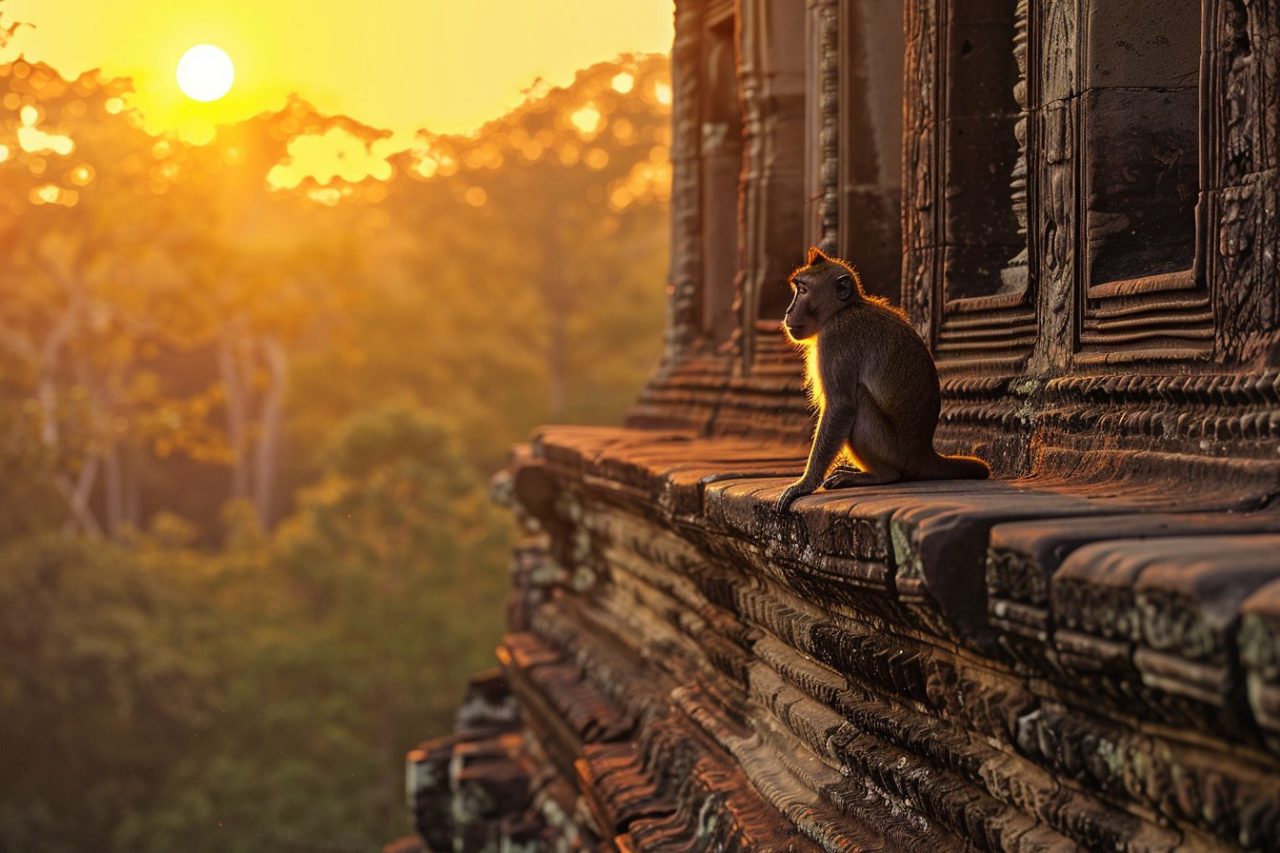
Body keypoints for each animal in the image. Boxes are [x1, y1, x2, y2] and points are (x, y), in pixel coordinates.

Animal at [773, 247, 989, 512]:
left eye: (803, 291)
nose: (787, 312)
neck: (843, 309)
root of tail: (924, 452)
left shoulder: (836, 337)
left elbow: (841, 406)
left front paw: (804, 484)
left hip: (893, 451)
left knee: (860, 400)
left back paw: (881, 475)